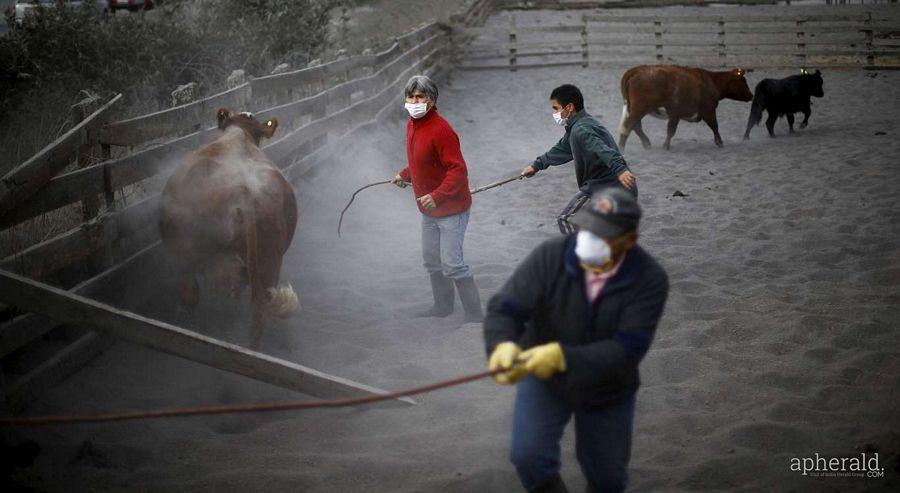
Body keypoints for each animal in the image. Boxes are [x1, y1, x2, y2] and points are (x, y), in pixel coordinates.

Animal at [160, 108, 300, 346]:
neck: (240, 133)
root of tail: (245, 192)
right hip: (267, 265)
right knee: (256, 318)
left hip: (188, 254)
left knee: (191, 294)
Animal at [620, 65, 752, 150]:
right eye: (743, 82)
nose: (751, 95)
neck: (711, 81)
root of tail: (636, 70)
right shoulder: (708, 110)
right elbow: (714, 126)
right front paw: (719, 143)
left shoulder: (675, 115)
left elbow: (671, 130)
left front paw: (666, 145)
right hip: (639, 109)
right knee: (628, 126)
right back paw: (622, 147)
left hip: (635, 109)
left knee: (636, 126)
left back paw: (646, 144)